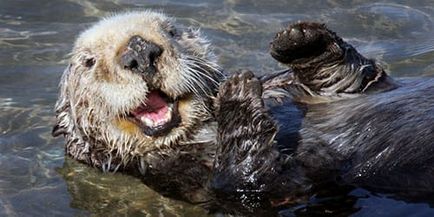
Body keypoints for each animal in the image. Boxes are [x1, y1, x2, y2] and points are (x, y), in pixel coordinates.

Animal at [53, 10, 434, 214]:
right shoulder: (185, 176)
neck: (203, 131)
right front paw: (235, 94)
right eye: (89, 62)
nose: (140, 51)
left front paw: (298, 38)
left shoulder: (310, 89)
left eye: (171, 31)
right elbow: (254, 184)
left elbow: (352, 74)